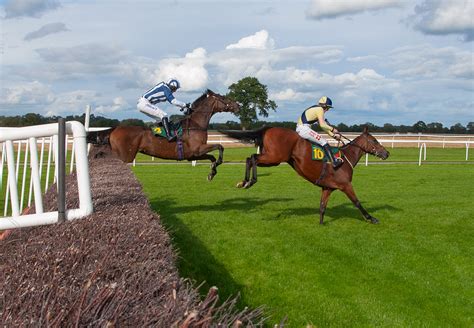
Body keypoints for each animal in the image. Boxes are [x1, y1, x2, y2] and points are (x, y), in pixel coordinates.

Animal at [87, 89, 239, 181]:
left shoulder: (192, 155)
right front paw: (215, 167)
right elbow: (220, 147)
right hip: (125, 155)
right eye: (223, 98)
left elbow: (212, 157)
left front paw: (212, 172)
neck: (195, 124)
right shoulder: (197, 149)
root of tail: (115, 128)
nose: (238, 105)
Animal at [220, 127, 390, 224]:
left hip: (273, 159)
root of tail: (269, 128)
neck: (346, 158)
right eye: (374, 140)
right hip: (274, 157)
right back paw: (251, 181)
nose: (387, 153)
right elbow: (357, 202)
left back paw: (244, 182)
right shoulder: (345, 185)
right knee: (253, 158)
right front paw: (371, 218)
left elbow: (322, 207)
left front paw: (321, 224)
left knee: (250, 159)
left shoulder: (327, 188)